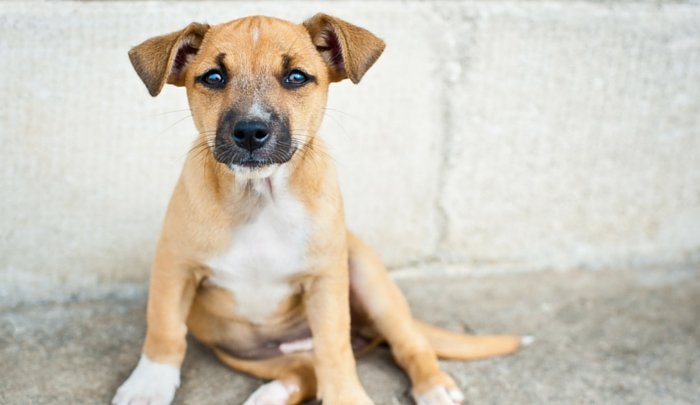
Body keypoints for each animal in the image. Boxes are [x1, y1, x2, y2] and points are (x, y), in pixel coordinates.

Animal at [112, 14, 524, 404]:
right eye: (213, 77)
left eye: (296, 77)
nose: (250, 131)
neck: (259, 197)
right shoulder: (174, 265)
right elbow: (164, 328)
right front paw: (147, 387)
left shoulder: (325, 282)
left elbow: (334, 349)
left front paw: (346, 397)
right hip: (243, 350)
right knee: (304, 373)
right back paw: (271, 396)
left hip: (371, 281)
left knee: (409, 345)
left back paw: (434, 388)